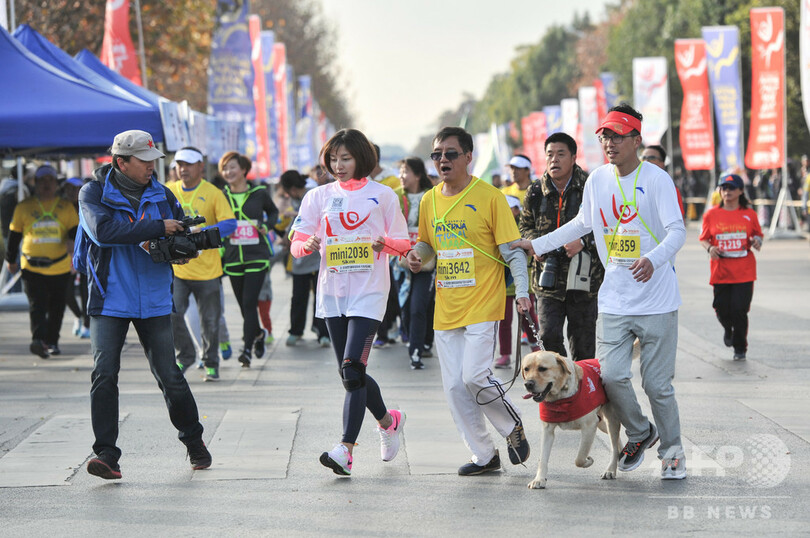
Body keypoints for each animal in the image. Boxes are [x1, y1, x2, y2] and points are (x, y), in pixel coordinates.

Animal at [521, 350, 621, 489]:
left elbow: (580, 458)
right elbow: (543, 458)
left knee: (614, 443)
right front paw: (539, 479)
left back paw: (611, 469)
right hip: (602, 423)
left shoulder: (590, 426)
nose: (528, 384)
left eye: (542, 368)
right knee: (617, 441)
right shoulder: (547, 430)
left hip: (610, 419)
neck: (560, 398)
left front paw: (588, 461)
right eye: (526, 369)